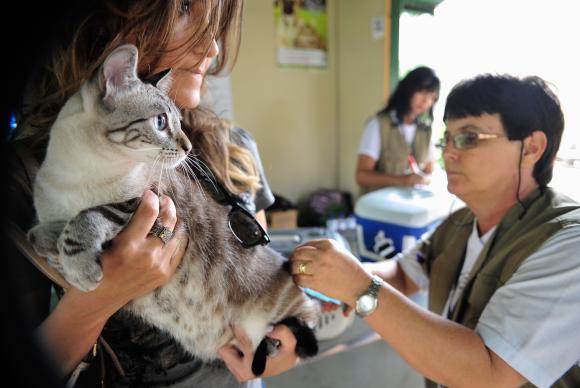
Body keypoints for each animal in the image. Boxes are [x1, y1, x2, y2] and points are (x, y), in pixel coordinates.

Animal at [27, 43, 320, 376]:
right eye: (160, 122)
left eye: (179, 122)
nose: (189, 147)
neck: (81, 174)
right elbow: (40, 237)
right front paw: (59, 248)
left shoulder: (149, 202)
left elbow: (88, 216)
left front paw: (82, 267)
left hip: (288, 313)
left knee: (306, 325)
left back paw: (272, 343)